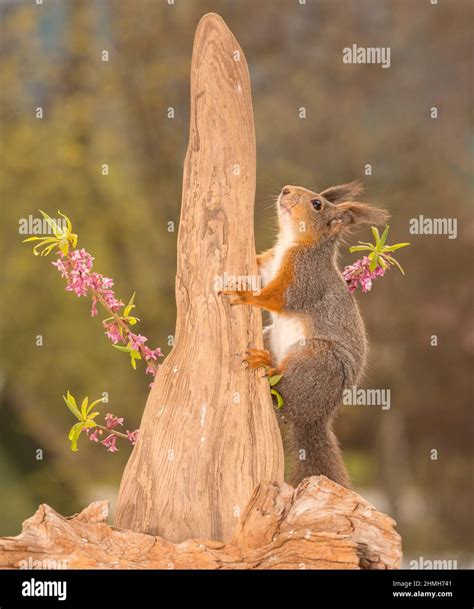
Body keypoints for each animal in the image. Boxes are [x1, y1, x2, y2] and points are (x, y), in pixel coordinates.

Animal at [220, 179, 386, 484]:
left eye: (317, 204)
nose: (285, 189)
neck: (292, 242)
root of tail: (314, 416)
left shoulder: (303, 278)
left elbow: (274, 298)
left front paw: (242, 294)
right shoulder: (270, 265)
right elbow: (259, 267)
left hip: (316, 360)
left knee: (284, 389)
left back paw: (265, 365)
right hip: (270, 337)